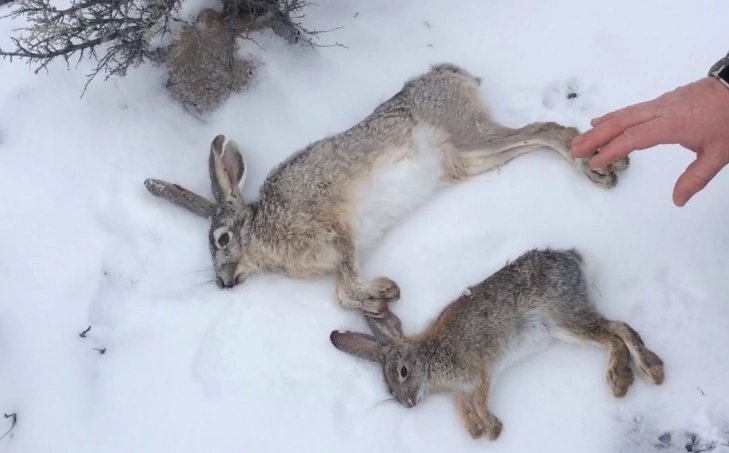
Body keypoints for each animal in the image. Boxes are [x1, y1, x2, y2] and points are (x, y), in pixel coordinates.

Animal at [143, 63, 630, 319]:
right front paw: (379, 296)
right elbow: (341, 289)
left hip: (467, 135)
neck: (262, 229)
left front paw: (383, 292)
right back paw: (599, 162)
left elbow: (342, 288)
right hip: (468, 159)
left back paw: (598, 167)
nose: (223, 283)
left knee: (546, 129)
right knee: (533, 140)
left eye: (222, 239)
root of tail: (449, 74)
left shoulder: (335, 227)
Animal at [329, 248, 665, 441]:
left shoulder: (480, 372)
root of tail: (572, 258)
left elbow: (479, 400)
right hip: (563, 328)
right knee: (613, 333)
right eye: (388, 390)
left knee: (617, 329)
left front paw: (492, 429)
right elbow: (461, 407)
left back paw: (636, 374)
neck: (430, 358)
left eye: (402, 372)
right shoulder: (460, 391)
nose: (409, 404)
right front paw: (474, 430)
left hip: (564, 317)